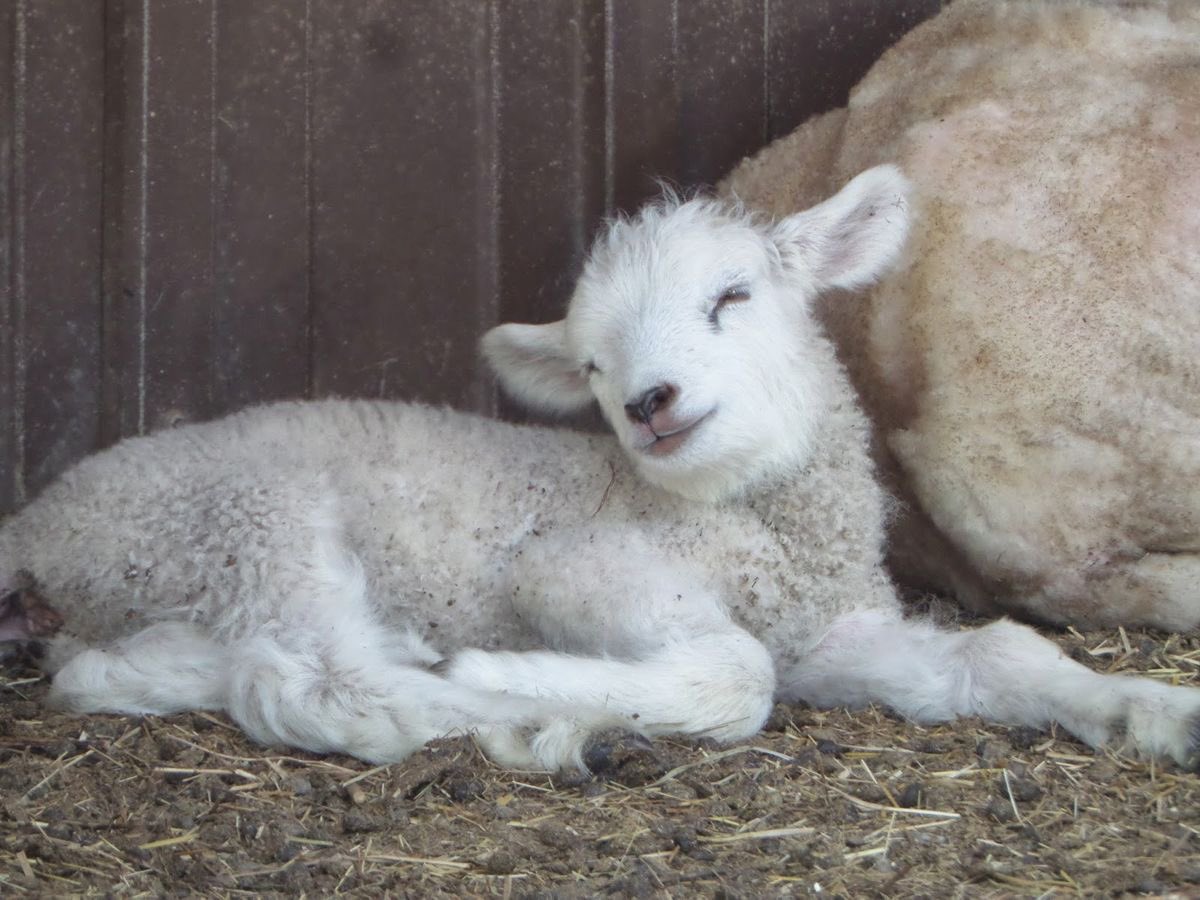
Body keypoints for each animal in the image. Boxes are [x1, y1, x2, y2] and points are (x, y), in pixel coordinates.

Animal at [2, 165, 1199, 771]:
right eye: (590, 361)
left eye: (734, 295)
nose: (647, 403)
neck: (749, 522)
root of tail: (38, 528)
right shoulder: (576, 562)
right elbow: (738, 675)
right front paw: (521, 677)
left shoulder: (826, 628)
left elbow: (993, 652)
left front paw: (1150, 712)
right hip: (253, 518)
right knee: (333, 676)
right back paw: (524, 716)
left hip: (182, 577)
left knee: (117, 675)